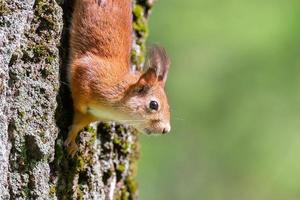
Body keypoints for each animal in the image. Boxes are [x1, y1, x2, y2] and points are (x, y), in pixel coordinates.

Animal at [64, 0, 171, 156]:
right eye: (154, 105)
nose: (166, 130)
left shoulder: (93, 114)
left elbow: (80, 122)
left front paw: (73, 138)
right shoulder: (87, 75)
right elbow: (78, 105)